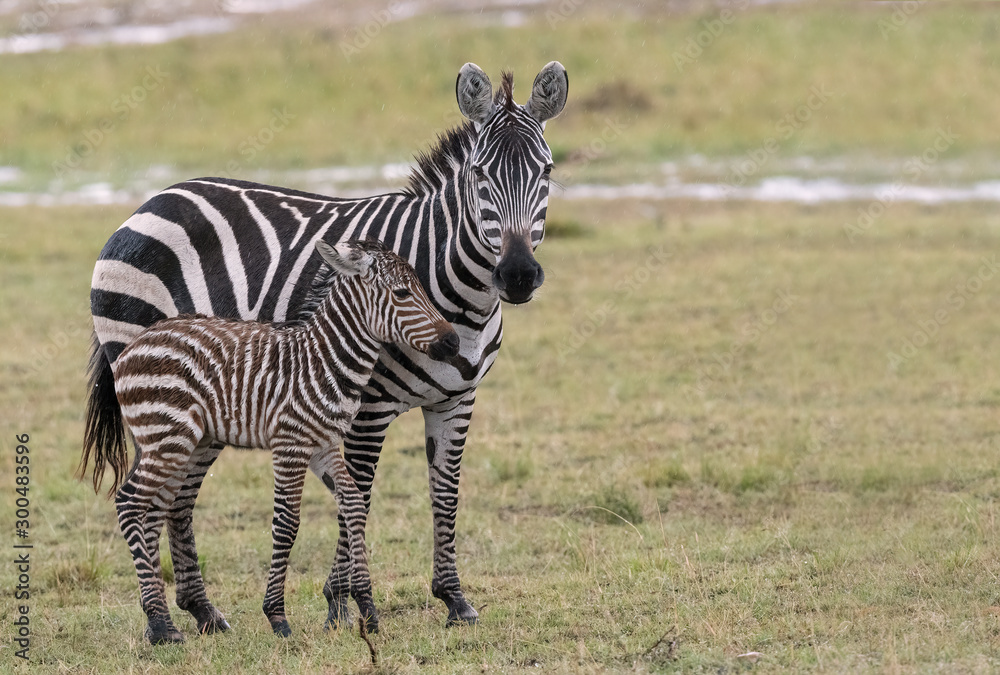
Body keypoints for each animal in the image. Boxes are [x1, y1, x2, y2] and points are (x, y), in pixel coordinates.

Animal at [105, 240, 459, 643]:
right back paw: (162, 625)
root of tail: (134, 345)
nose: (453, 342)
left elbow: (354, 505)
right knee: (130, 503)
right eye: (402, 294)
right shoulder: (289, 444)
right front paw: (276, 615)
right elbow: (287, 522)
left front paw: (367, 609)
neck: (326, 362)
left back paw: (158, 622)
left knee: (153, 511)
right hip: (167, 437)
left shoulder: (325, 446)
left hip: (178, 443)